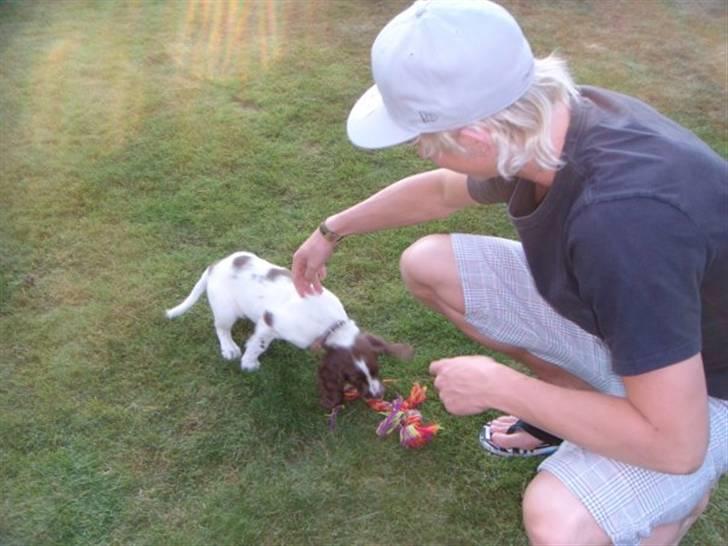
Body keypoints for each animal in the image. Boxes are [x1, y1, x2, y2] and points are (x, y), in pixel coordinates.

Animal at [166, 251, 416, 408]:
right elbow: (259, 344)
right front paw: (249, 363)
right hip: (226, 309)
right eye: (352, 378)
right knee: (221, 328)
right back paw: (229, 348)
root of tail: (214, 267)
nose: (378, 395)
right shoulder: (270, 321)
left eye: (375, 369)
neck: (332, 326)